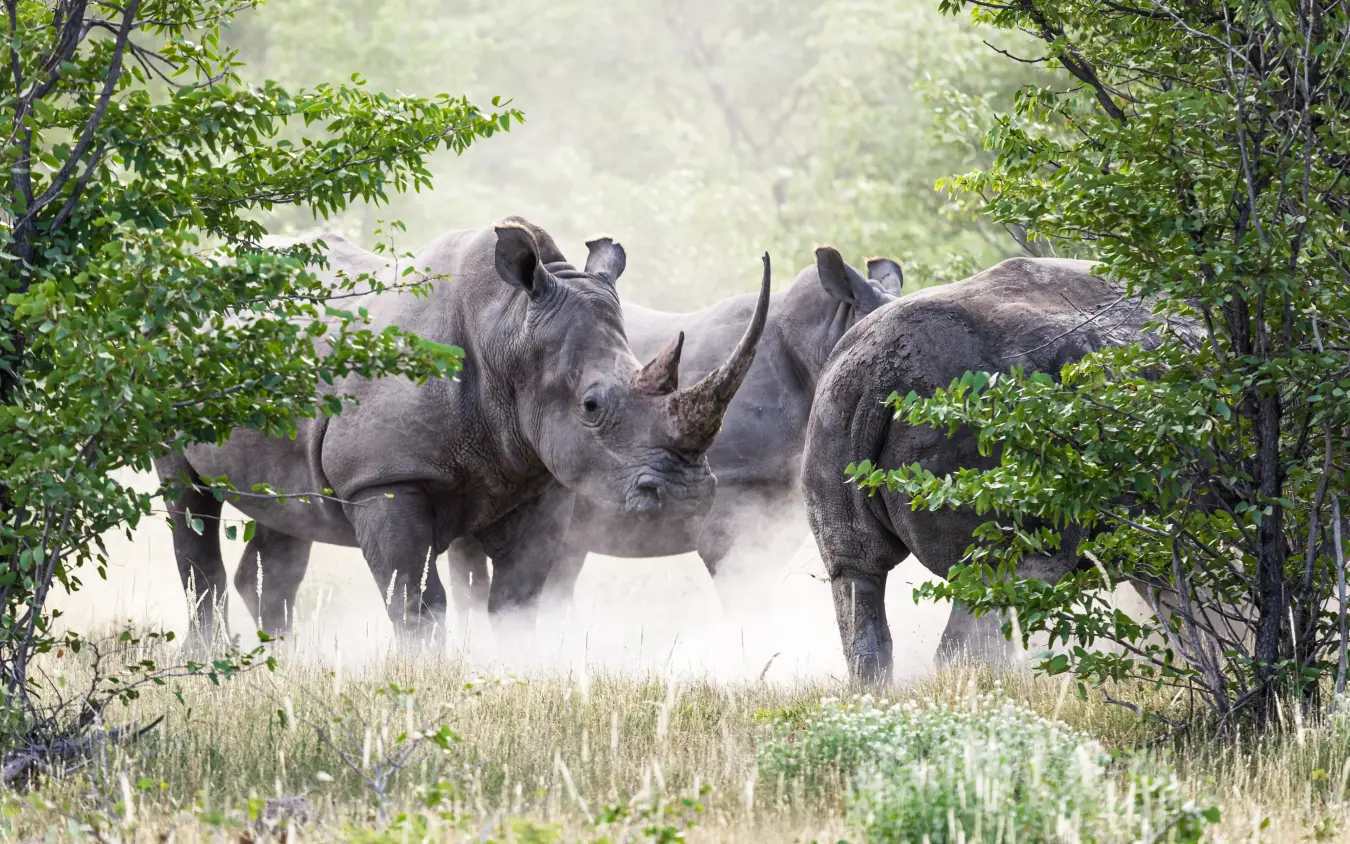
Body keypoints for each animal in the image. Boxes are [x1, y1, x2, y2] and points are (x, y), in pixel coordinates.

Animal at [155, 217, 773, 648]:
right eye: (592, 405)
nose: (689, 494)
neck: (509, 329)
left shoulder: (537, 476)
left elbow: (518, 601)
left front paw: (516, 676)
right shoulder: (384, 478)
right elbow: (417, 601)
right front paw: (419, 686)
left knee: (286, 516)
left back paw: (281, 661)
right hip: (165, 353)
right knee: (188, 503)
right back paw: (212, 661)